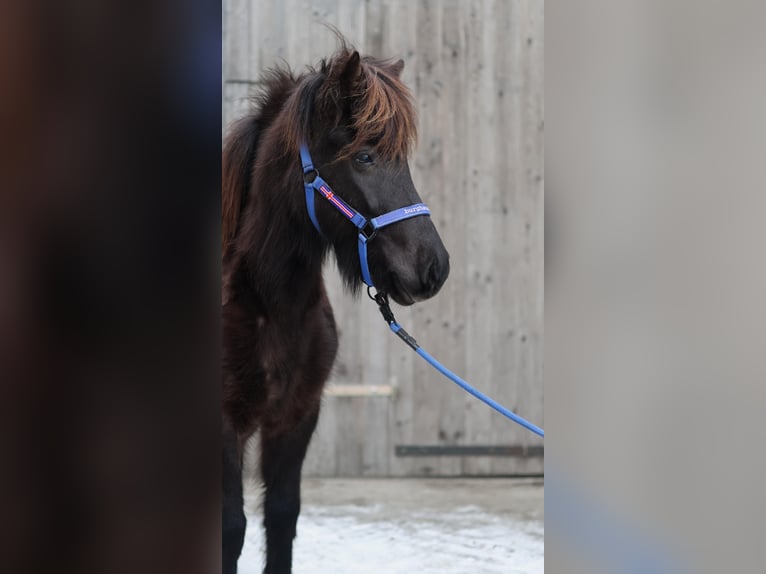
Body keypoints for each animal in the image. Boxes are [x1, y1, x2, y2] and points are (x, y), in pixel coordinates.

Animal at [222, 45, 450, 574]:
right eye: (363, 156)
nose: (434, 268)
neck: (271, 307)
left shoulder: (297, 416)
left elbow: (281, 516)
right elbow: (230, 530)